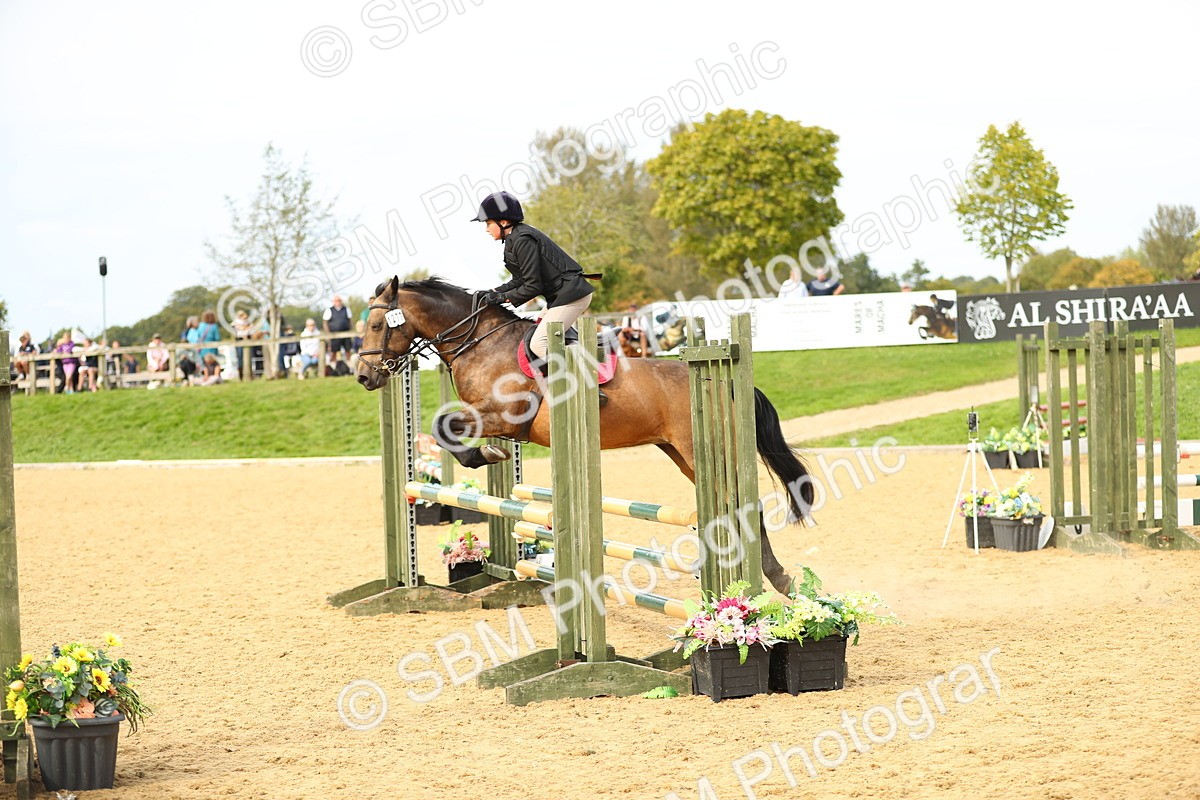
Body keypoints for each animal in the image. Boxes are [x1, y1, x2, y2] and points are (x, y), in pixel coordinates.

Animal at [356, 276, 815, 593]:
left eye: (377, 324)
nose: (363, 376)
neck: (479, 343)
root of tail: (722, 376)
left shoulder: (502, 416)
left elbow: (445, 429)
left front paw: (486, 455)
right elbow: (443, 429)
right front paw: (491, 456)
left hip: (703, 449)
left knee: (746, 505)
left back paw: (772, 579)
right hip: (680, 453)